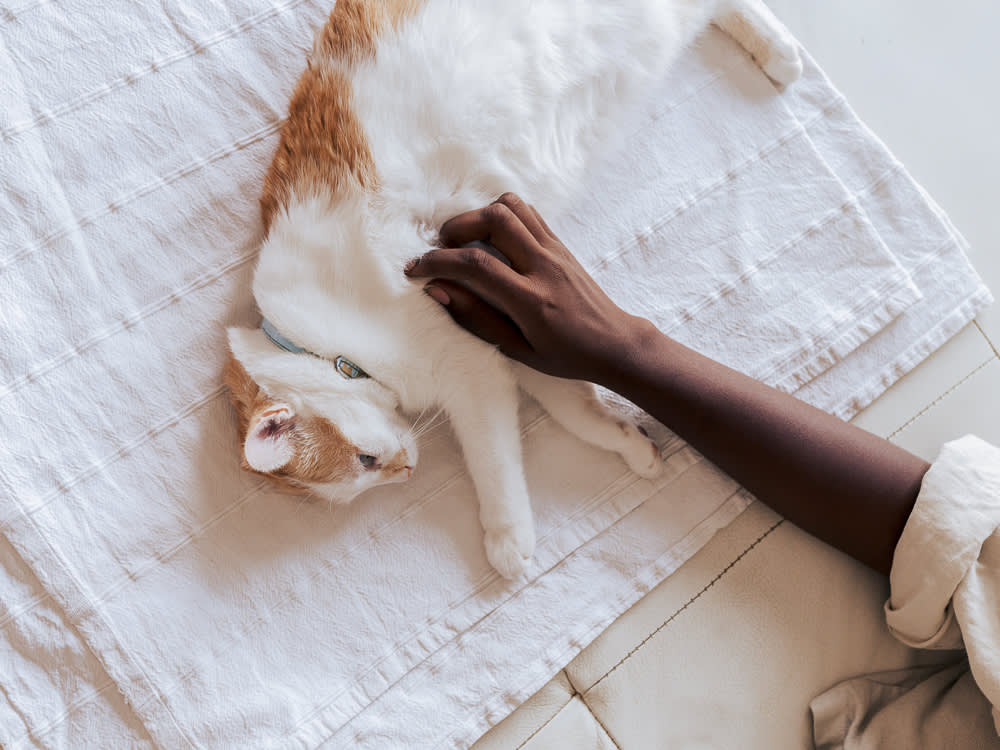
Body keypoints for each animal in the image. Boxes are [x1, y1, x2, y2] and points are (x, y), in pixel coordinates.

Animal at [223, 0, 800, 580]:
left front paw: (507, 537)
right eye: (363, 481)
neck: (322, 342)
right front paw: (630, 446)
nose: (407, 471)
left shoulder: (471, 369)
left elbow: (493, 462)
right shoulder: (514, 332)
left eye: (366, 462)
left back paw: (780, 52)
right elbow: (575, 407)